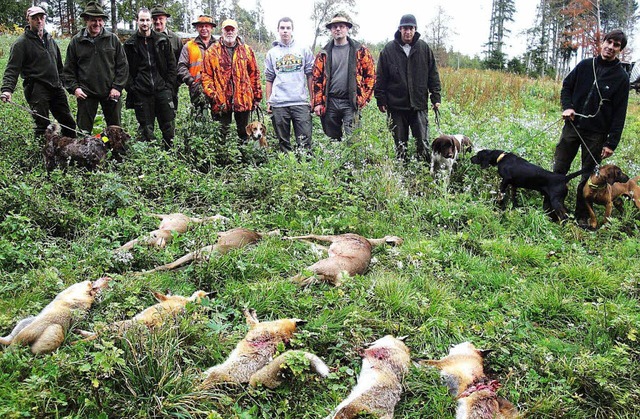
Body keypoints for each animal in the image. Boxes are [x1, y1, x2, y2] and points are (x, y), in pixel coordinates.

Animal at [201, 308, 330, 390]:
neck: (281, 334)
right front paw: (252, 312)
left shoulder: (256, 327)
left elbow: (251, 320)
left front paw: (248, 312)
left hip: (213, 372)